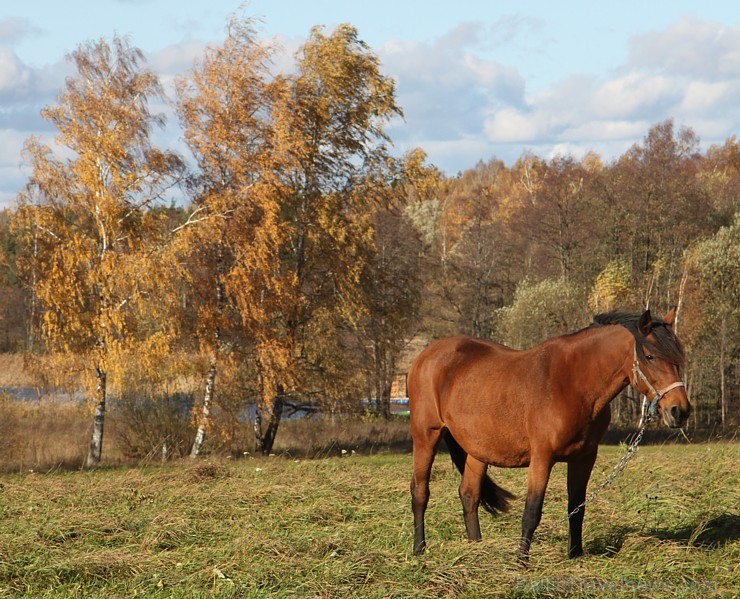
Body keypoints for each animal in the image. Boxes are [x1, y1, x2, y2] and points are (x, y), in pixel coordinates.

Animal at [408, 308, 692, 564]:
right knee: (420, 491)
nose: (680, 410)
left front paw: (575, 555)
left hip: (478, 449)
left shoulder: (584, 458)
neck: (572, 384)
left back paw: (476, 548)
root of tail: (426, 356)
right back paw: (420, 549)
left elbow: (577, 508)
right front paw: (521, 561)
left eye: (677, 359)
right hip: (426, 436)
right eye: (650, 356)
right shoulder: (542, 458)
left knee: (469, 495)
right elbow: (532, 511)